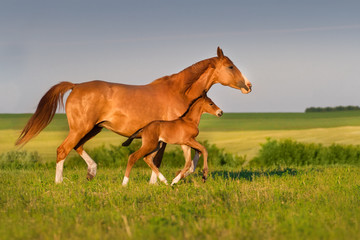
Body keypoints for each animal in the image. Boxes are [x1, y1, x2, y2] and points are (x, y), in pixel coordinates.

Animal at [16, 47, 250, 183]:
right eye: (230, 66)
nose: (248, 85)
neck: (179, 91)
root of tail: (76, 86)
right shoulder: (172, 136)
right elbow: (163, 159)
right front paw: (167, 181)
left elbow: (175, 158)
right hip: (81, 127)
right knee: (63, 149)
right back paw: (60, 182)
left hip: (93, 128)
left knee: (77, 146)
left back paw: (92, 172)